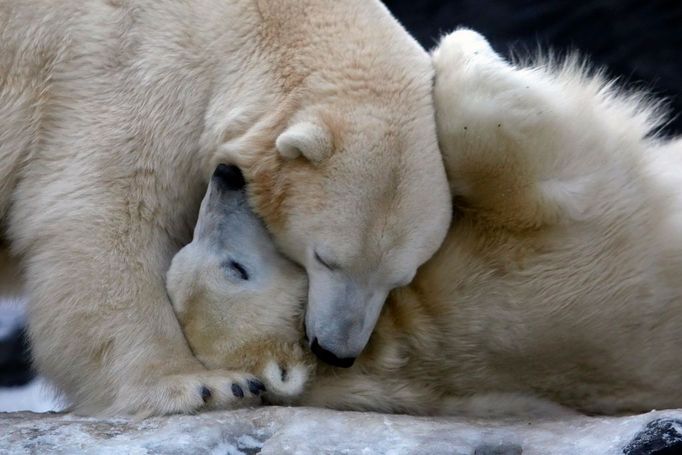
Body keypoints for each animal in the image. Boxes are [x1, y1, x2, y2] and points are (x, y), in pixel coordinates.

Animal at [0, 0, 452, 416]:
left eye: (401, 277)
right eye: (325, 259)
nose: (335, 351)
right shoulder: (124, 73)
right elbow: (105, 217)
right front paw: (200, 385)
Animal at [165, 29, 680, 416]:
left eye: (181, 257)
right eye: (235, 269)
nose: (226, 176)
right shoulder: (520, 270)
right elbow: (498, 137)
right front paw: (462, 48)